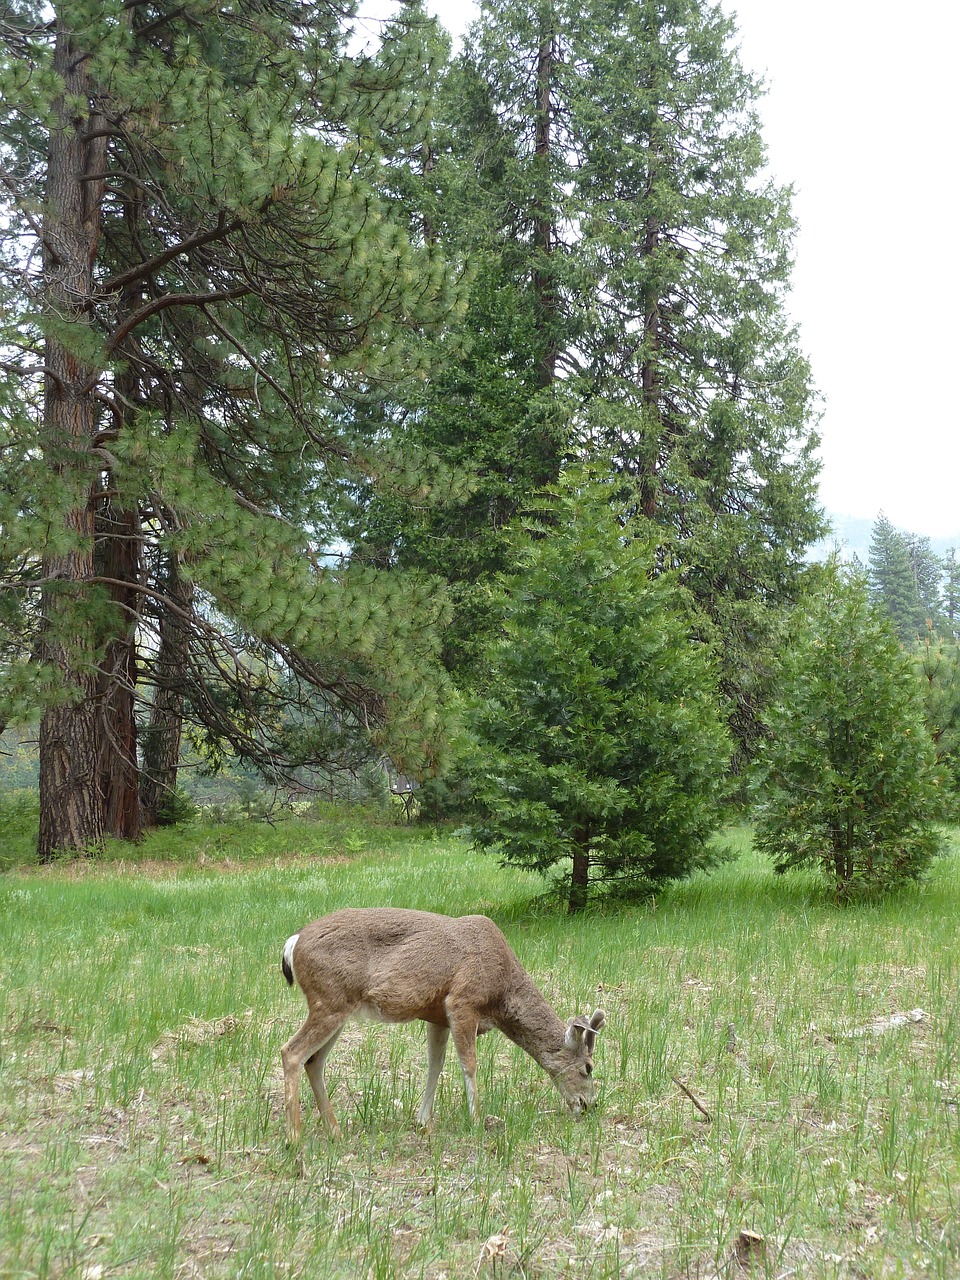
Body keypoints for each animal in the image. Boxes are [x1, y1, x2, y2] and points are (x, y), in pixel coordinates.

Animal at [280, 906, 609, 1146]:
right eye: (588, 1067)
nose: (588, 1106)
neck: (501, 994)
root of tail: (292, 943)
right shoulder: (462, 1001)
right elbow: (469, 1064)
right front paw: (476, 1121)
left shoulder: (437, 1017)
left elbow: (434, 1065)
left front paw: (422, 1121)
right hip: (329, 1000)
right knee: (291, 1052)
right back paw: (294, 1138)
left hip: (338, 1007)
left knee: (314, 1061)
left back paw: (334, 1131)